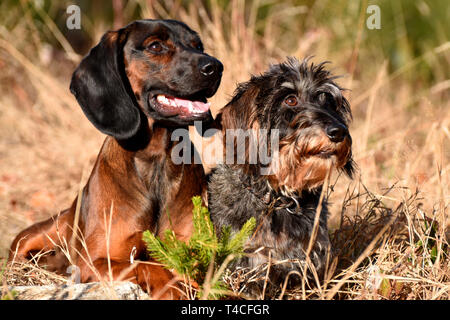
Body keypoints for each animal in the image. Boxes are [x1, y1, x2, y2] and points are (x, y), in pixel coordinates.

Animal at [8, 19, 223, 300]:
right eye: (156, 46)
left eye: (198, 46)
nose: (215, 67)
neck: (155, 160)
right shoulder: (94, 262)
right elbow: (146, 265)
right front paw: (172, 288)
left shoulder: (194, 251)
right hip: (34, 237)